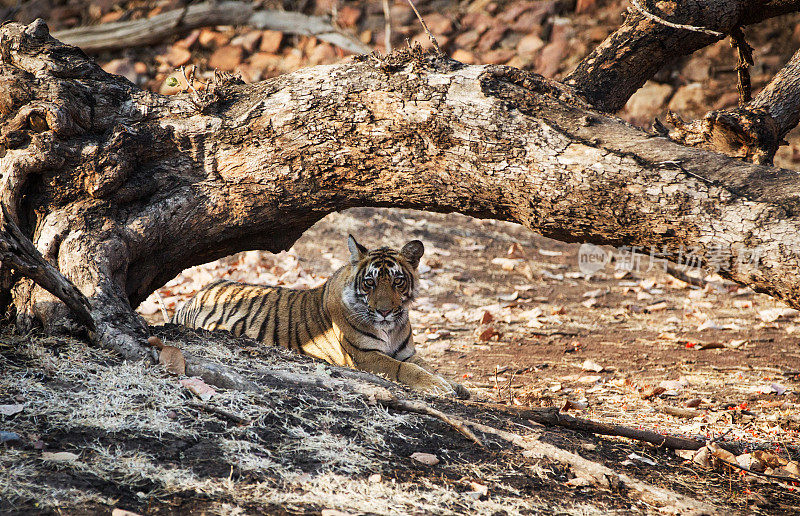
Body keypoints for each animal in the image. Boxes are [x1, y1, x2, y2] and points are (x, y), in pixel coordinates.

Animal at [170, 236, 468, 398]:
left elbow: (428, 366)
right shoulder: (364, 356)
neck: (391, 327)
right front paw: (439, 387)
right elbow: (405, 369)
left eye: (397, 281)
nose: (384, 311)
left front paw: (455, 385)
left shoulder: (407, 352)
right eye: (370, 283)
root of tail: (194, 295)